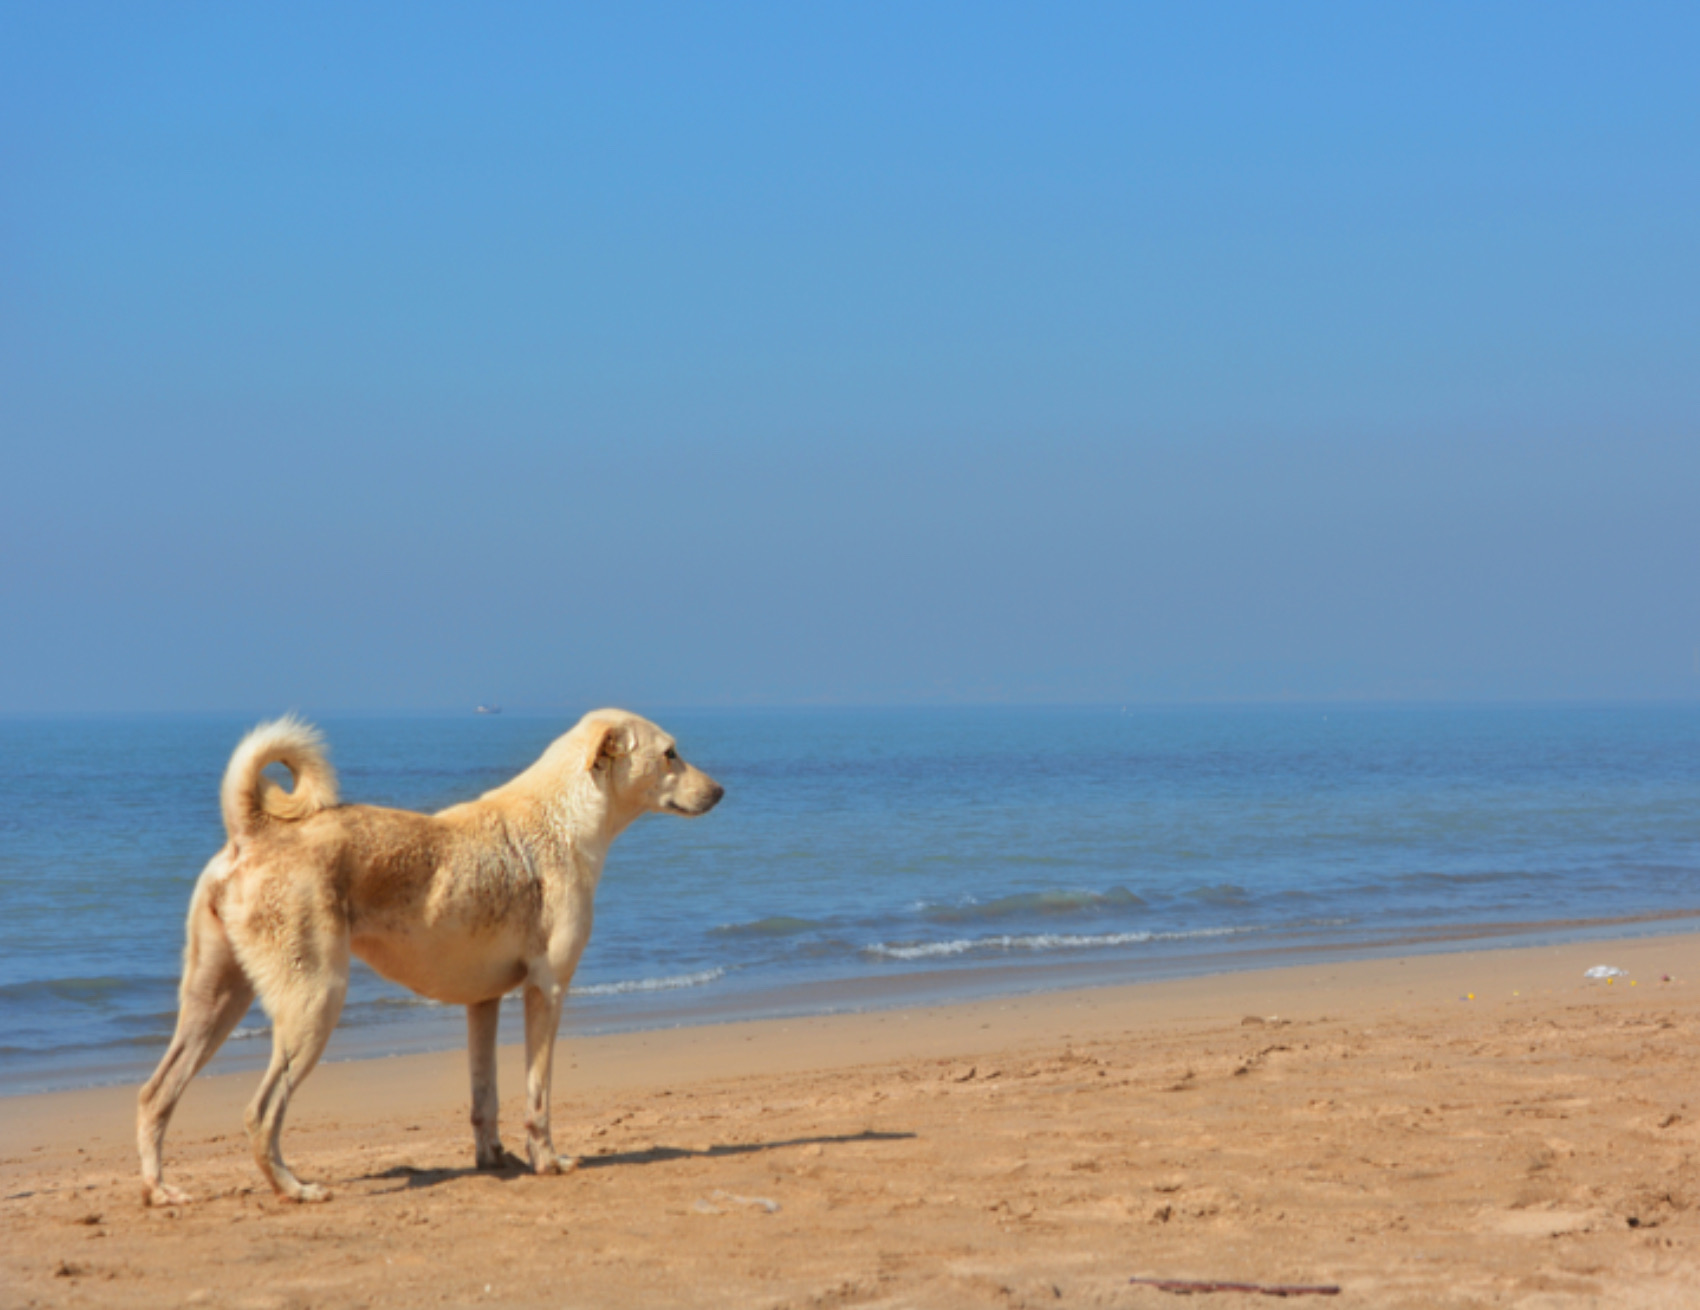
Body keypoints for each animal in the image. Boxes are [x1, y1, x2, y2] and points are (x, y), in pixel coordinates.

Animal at [134, 713, 717, 1202]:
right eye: (670, 753)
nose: (720, 790)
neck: (562, 817)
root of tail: (252, 831)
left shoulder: (484, 1004)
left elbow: (485, 1098)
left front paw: (494, 1160)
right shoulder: (547, 991)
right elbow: (538, 1099)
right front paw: (547, 1161)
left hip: (215, 1002)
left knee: (154, 1095)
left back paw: (161, 1191)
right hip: (315, 1002)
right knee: (260, 1113)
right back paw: (294, 1188)